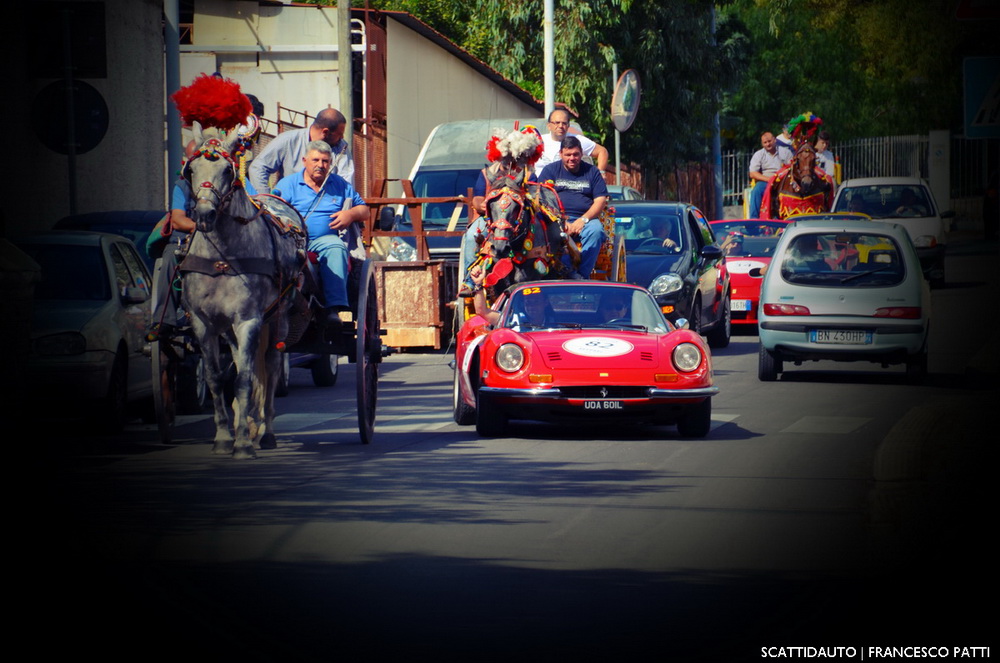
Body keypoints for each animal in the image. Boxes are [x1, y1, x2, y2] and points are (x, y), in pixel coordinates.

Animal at [180, 122, 304, 460]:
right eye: (191, 170)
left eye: (226, 169)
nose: (204, 215)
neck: (222, 255)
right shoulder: (203, 324)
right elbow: (215, 378)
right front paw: (226, 436)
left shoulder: (249, 320)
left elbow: (246, 378)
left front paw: (245, 444)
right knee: (240, 361)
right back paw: (247, 424)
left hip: (278, 317)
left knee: (271, 366)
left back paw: (266, 432)